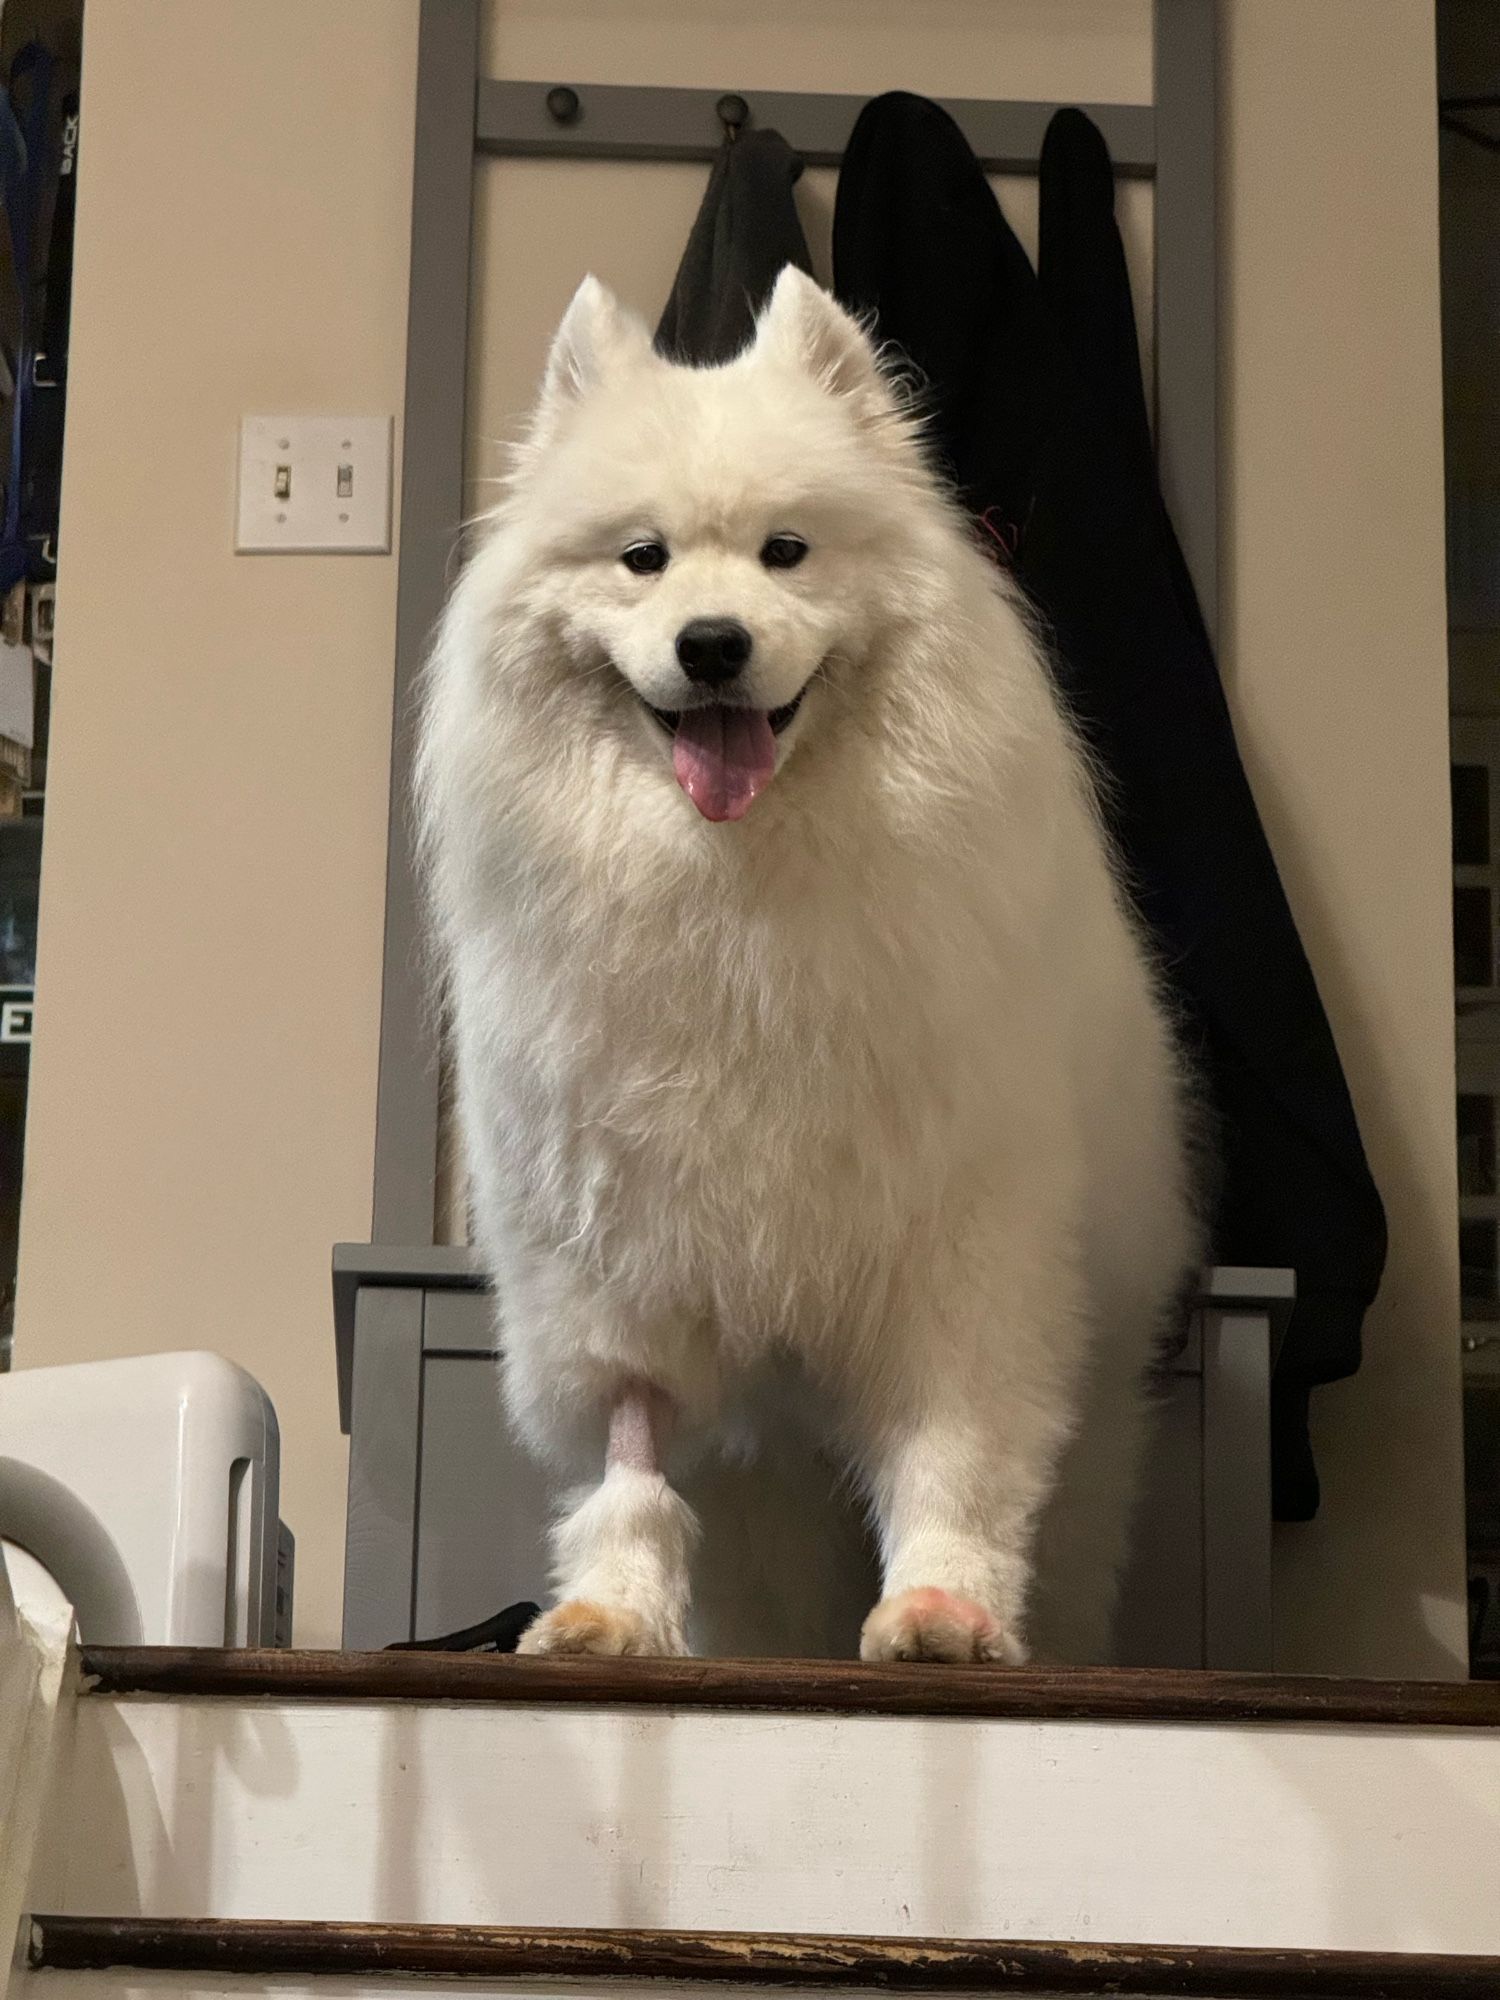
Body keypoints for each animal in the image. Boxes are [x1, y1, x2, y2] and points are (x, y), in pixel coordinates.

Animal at [414, 270, 1200, 1672]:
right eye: (644, 558)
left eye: (788, 551)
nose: (713, 642)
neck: (738, 891)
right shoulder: (617, 1264)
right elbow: (630, 1456)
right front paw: (612, 1610)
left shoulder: (960, 1244)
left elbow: (957, 1447)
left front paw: (943, 1606)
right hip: (765, 1487)